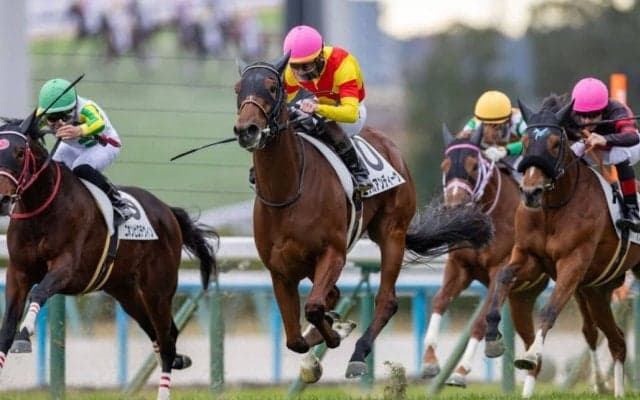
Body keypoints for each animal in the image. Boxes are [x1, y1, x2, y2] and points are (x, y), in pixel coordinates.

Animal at [0, 119, 218, 400]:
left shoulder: (66, 267)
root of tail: (168, 211)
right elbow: (6, 331)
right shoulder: (18, 272)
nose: (3, 199)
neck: (42, 207)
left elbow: (39, 292)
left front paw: (25, 333)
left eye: (19, 153)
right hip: (125, 291)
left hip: (158, 289)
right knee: (159, 334)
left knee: (167, 340)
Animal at [232, 53, 494, 382]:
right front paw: (321, 345)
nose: (247, 129)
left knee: (385, 300)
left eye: (271, 86)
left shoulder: (333, 253)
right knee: (331, 297)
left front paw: (334, 336)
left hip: (392, 233)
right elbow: (295, 339)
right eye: (238, 88)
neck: (287, 192)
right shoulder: (279, 269)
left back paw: (357, 353)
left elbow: (314, 307)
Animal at [483, 96, 640, 398]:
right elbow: (503, 278)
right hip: (597, 290)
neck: (552, 209)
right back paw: (615, 390)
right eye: (525, 140)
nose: (530, 192)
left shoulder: (573, 261)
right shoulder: (529, 256)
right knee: (616, 340)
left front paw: (531, 354)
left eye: (556, 143)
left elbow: (549, 310)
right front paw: (493, 337)